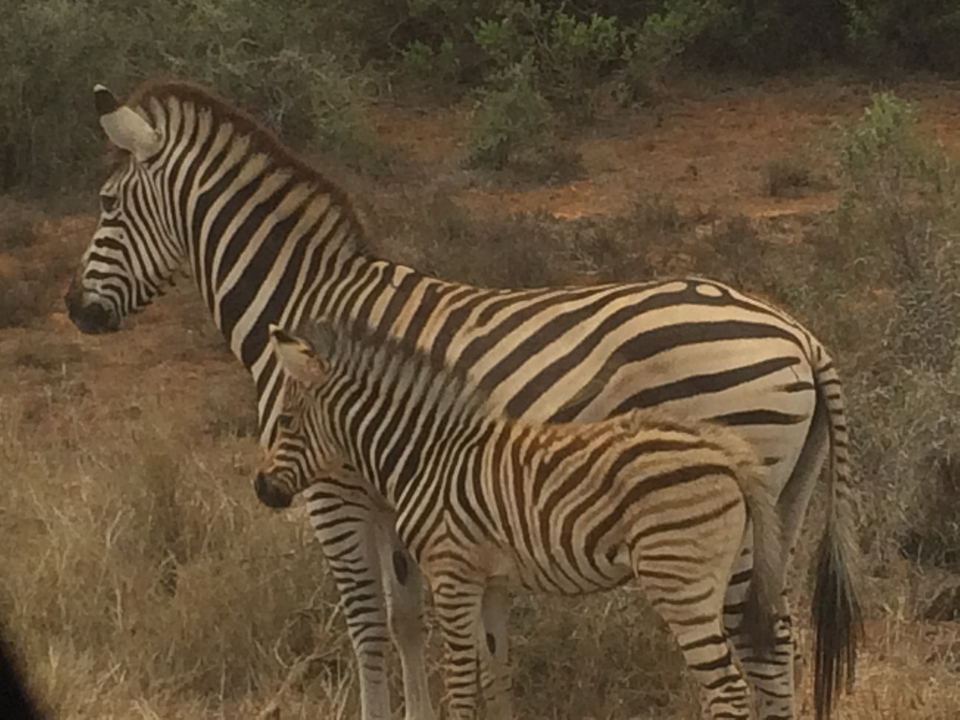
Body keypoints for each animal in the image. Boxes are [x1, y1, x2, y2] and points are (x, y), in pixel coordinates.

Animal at [256, 318, 788, 719]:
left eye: (284, 421)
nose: (261, 489)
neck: (427, 457)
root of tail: (724, 449)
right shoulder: (492, 581)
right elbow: (497, 675)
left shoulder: (452, 574)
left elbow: (462, 684)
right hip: (716, 578)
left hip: (680, 580)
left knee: (728, 689)